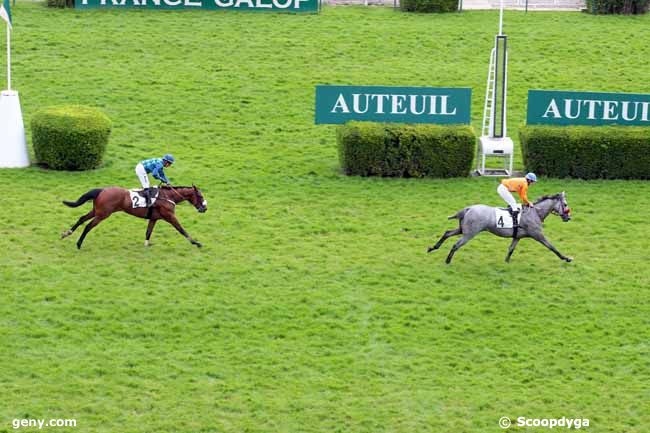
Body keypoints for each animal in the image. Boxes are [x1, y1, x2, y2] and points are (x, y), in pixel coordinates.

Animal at [62, 184, 206, 248]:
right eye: (200, 196)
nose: (204, 208)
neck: (168, 196)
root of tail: (102, 190)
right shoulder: (170, 217)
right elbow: (182, 229)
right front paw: (196, 242)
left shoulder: (153, 218)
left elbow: (148, 232)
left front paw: (146, 245)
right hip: (103, 214)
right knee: (88, 226)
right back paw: (78, 243)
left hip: (97, 210)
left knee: (81, 219)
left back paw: (66, 233)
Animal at [428, 192, 568, 264]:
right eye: (565, 204)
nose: (568, 218)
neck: (535, 212)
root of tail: (468, 208)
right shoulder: (538, 235)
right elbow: (552, 247)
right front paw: (566, 258)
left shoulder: (518, 237)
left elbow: (511, 249)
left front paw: (506, 262)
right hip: (469, 233)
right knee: (456, 245)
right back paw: (447, 260)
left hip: (462, 229)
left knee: (447, 233)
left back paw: (433, 248)